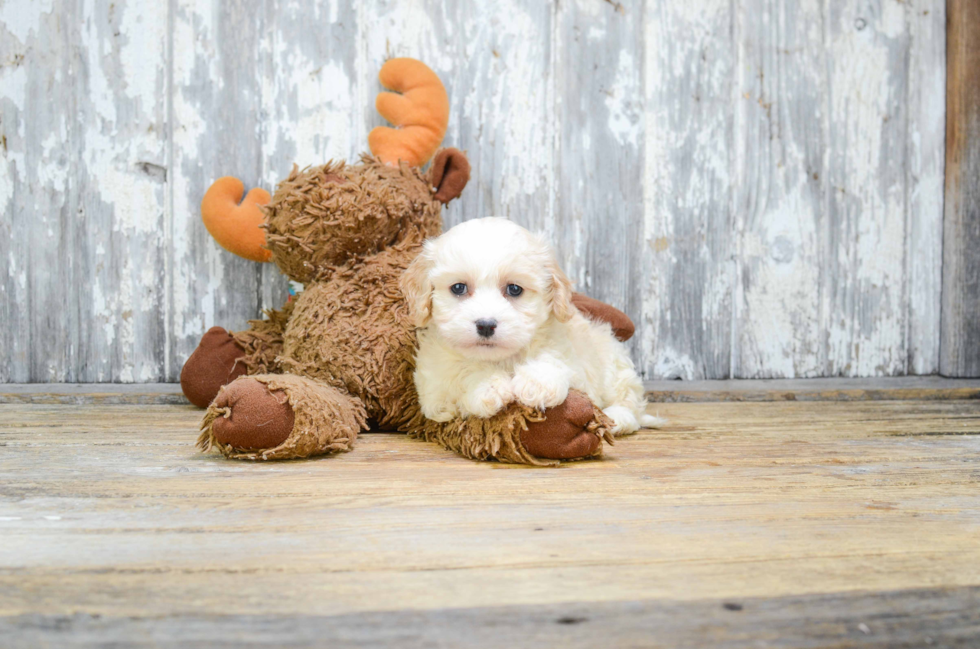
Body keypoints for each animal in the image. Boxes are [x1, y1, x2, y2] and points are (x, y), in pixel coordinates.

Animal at [400, 218, 668, 436]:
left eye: (514, 289)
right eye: (458, 288)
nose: (486, 325)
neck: (501, 359)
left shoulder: (569, 358)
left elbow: (552, 360)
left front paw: (537, 384)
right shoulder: (434, 393)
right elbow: (461, 372)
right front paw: (488, 385)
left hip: (613, 366)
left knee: (629, 404)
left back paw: (614, 419)